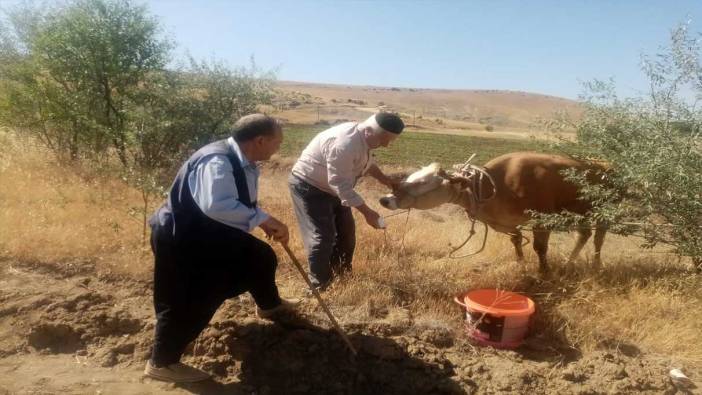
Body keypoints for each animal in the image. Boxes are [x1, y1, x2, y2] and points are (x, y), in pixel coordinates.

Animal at [382, 152, 608, 272]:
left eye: (423, 182)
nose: (385, 199)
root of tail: (603, 163)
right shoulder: (507, 222)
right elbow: (516, 241)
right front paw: (520, 263)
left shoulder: (542, 220)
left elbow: (540, 248)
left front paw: (544, 272)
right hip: (582, 213)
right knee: (584, 234)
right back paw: (570, 263)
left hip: (603, 215)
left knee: (598, 239)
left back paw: (596, 265)